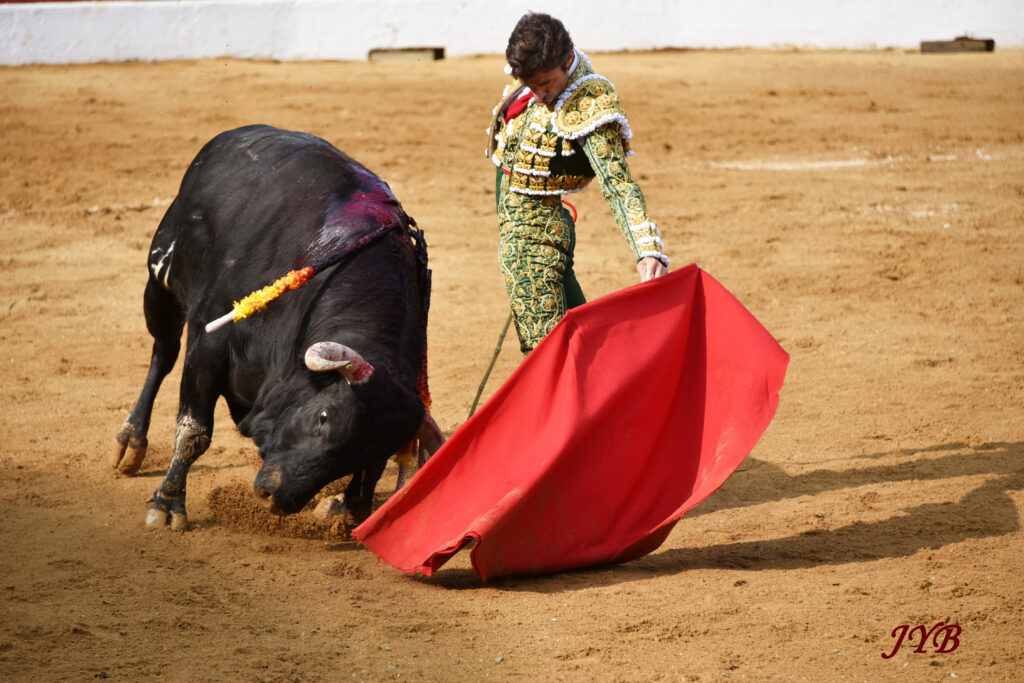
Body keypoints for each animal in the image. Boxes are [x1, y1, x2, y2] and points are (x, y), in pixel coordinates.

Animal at [111, 124, 444, 531]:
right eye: (323, 417)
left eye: (376, 449)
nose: (278, 497)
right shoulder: (208, 342)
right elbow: (194, 431)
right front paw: (168, 503)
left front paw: (348, 509)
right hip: (161, 279)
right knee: (164, 353)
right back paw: (131, 440)